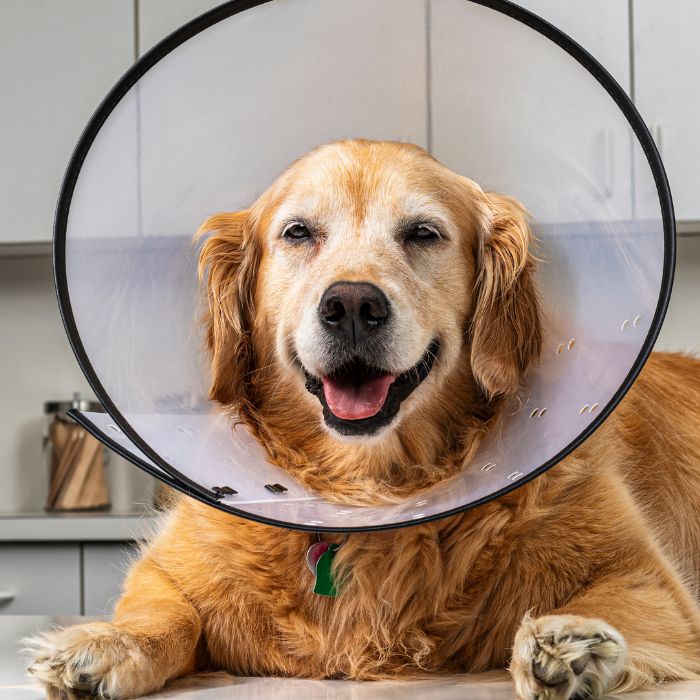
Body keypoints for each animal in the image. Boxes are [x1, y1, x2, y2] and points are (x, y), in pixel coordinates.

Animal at [30, 138, 700, 700]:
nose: (352, 304)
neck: (368, 496)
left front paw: (569, 644)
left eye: (423, 233)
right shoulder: (167, 569)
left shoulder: (650, 580)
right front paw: (103, 645)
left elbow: (610, 602)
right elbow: (166, 614)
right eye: (298, 232)